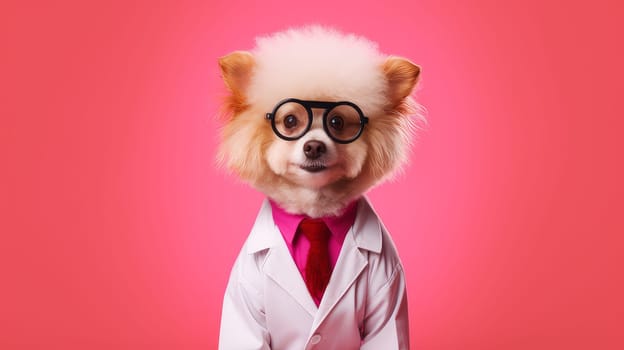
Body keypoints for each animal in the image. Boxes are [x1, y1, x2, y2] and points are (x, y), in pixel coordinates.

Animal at [217, 26, 422, 348]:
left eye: (337, 122)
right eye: (290, 120)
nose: (314, 146)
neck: (314, 215)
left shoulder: (387, 294)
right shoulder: (246, 298)